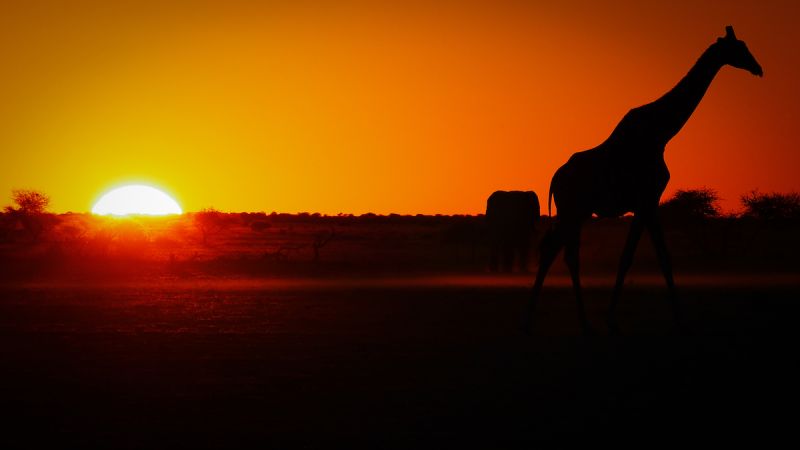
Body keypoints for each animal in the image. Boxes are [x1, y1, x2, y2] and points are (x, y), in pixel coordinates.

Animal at [524, 25, 764, 334]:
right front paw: (621, 319)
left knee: (560, 252)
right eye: (739, 48)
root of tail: (555, 178)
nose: (758, 68)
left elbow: (657, 257)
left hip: (577, 213)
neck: (661, 134)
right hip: (572, 210)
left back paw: (566, 321)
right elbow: (637, 257)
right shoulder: (646, 200)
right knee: (559, 252)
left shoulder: (648, 203)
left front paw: (674, 317)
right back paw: (559, 321)